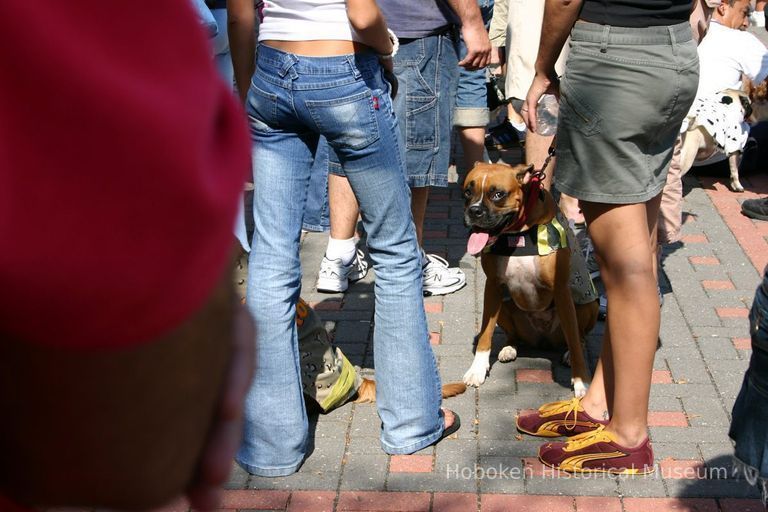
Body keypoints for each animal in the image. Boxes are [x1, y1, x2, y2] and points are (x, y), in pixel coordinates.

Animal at [460, 163, 596, 396]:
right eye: (468, 192)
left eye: (498, 194)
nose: (474, 211)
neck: (518, 234)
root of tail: (543, 341)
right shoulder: (493, 286)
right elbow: (486, 332)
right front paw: (477, 369)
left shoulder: (562, 291)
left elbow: (575, 341)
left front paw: (581, 381)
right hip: (505, 304)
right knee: (514, 334)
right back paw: (509, 348)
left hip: (587, 305)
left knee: (579, 337)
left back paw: (570, 353)